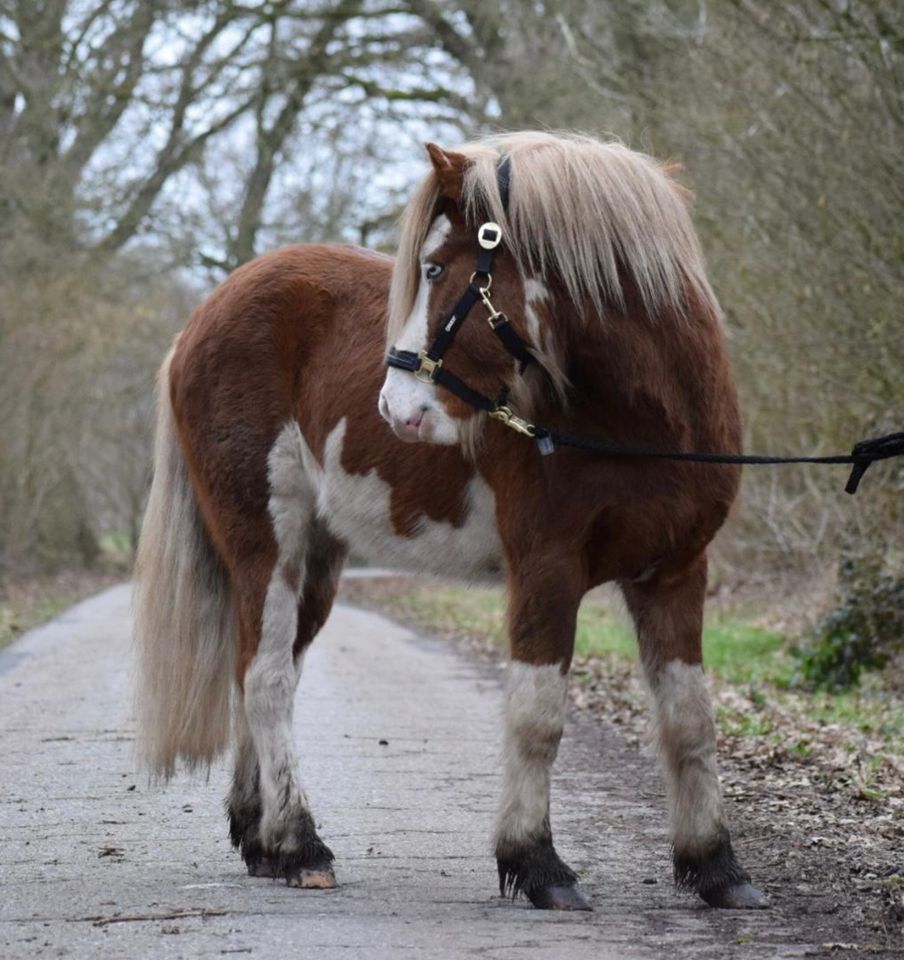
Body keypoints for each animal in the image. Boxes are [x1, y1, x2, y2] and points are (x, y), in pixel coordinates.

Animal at [134, 131, 768, 912]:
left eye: (437, 267)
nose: (395, 407)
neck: (636, 419)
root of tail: (199, 321)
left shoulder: (676, 572)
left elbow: (690, 721)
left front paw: (716, 866)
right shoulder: (546, 570)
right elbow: (537, 716)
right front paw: (536, 863)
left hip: (317, 560)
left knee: (261, 669)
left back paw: (263, 840)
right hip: (265, 546)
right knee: (267, 681)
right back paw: (299, 845)